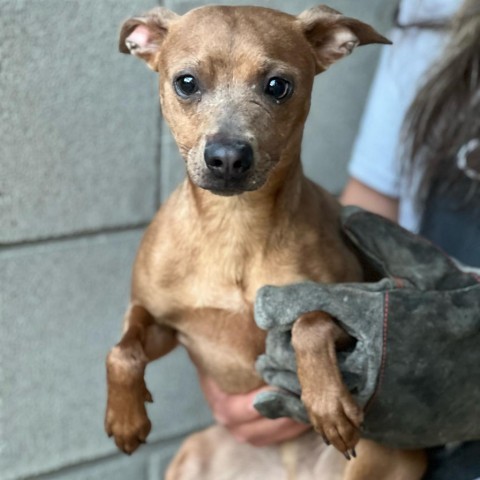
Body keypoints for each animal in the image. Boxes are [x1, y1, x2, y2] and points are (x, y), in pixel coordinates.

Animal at [106, 4, 428, 480]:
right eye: (186, 82)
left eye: (278, 86)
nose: (227, 158)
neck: (235, 229)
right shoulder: (164, 323)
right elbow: (122, 350)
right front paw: (126, 416)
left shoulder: (355, 308)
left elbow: (311, 320)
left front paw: (328, 403)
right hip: (192, 455)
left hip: (379, 457)